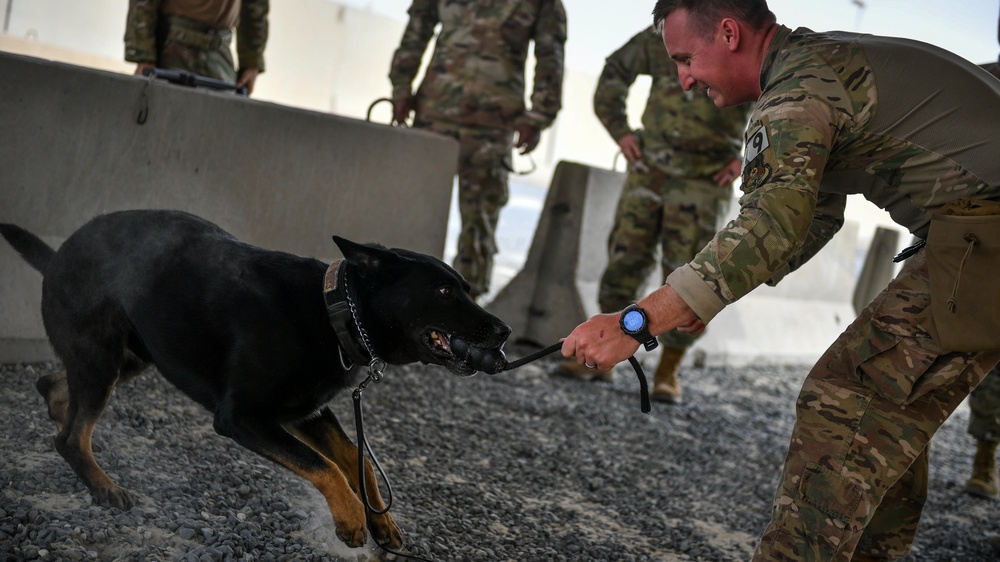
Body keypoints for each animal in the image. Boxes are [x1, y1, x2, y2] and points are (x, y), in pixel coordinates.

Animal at [0, 208, 512, 544]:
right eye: (444, 291)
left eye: (466, 288)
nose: (505, 330)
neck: (334, 312)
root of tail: (59, 251)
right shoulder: (243, 418)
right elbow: (327, 466)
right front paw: (351, 517)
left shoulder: (310, 413)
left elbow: (357, 459)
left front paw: (380, 518)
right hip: (104, 356)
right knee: (71, 437)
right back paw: (102, 484)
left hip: (132, 356)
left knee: (55, 391)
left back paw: (61, 414)